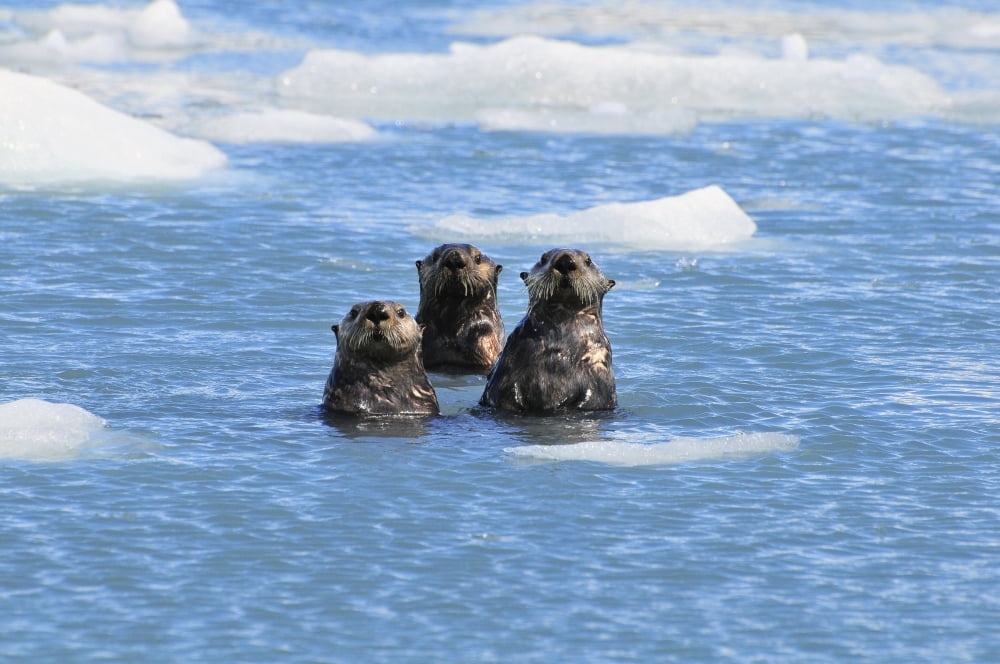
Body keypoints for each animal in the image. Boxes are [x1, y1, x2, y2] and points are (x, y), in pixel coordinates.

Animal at [480, 248, 616, 413]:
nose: (565, 261)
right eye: (543, 258)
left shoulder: (599, 362)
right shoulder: (509, 362)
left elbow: (595, 397)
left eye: (588, 261)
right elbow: (503, 393)